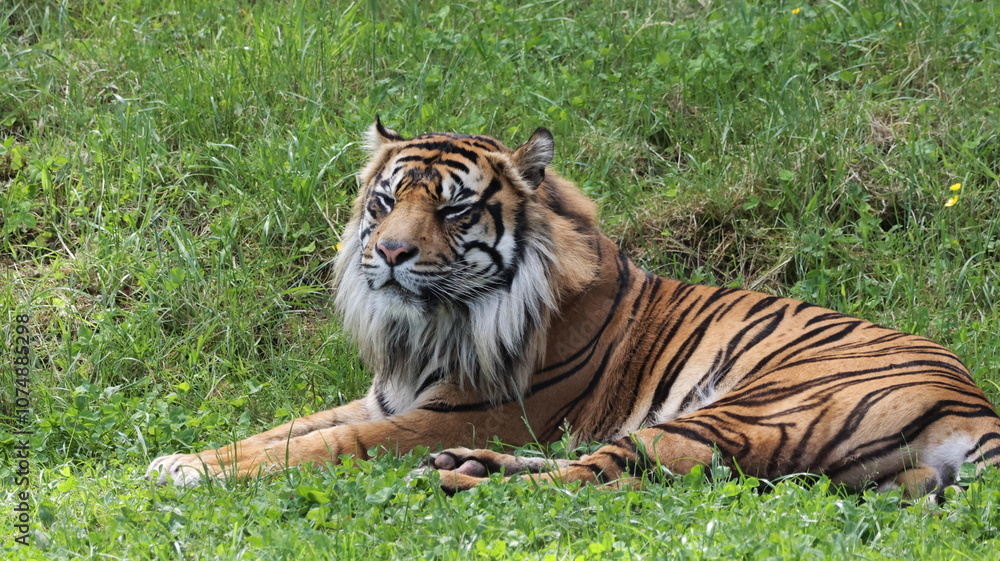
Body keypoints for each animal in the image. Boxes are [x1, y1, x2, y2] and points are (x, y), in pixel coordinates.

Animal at [147, 119, 1000, 499]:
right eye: (386, 201)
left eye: (452, 210)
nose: (387, 252)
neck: (428, 329)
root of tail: (974, 400)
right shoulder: (388, 398)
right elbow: (281, 430)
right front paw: (182, 455)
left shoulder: (453, 412)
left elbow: (320, 446)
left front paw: (186, 468)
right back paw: (463, 468)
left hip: (747, 410)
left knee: (602, 475)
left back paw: (462, 478)